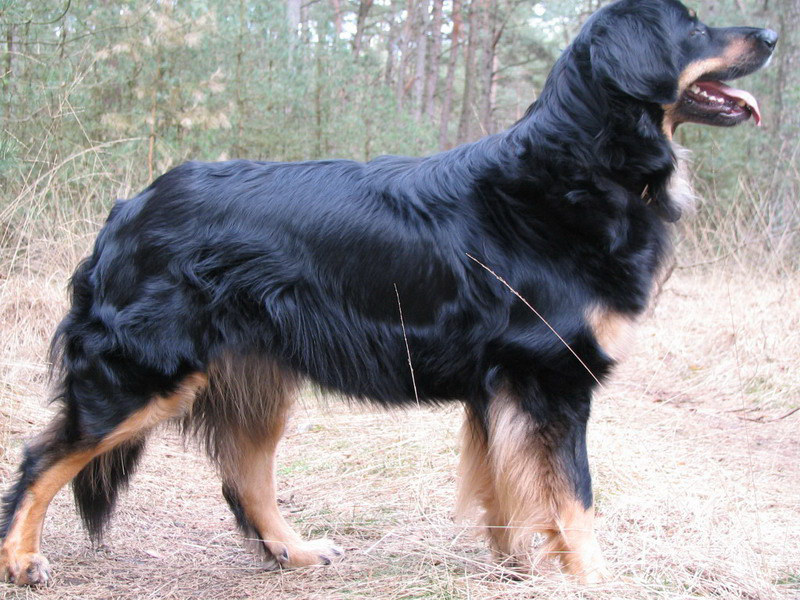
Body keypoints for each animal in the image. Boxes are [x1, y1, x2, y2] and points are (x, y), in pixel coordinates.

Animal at [0, 0, 776, 586]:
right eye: (692, 27)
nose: (770, 35)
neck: (582, 168)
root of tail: (127, 207)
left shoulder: (500, 388)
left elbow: (507, 490)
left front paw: (518, 568)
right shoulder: (552, 378)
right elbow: (575, 498)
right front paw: (593, 581)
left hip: (256, 375)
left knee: (245, 474)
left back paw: (294, 550)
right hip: (145, 374)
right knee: (42, 459)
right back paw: (21, 559)